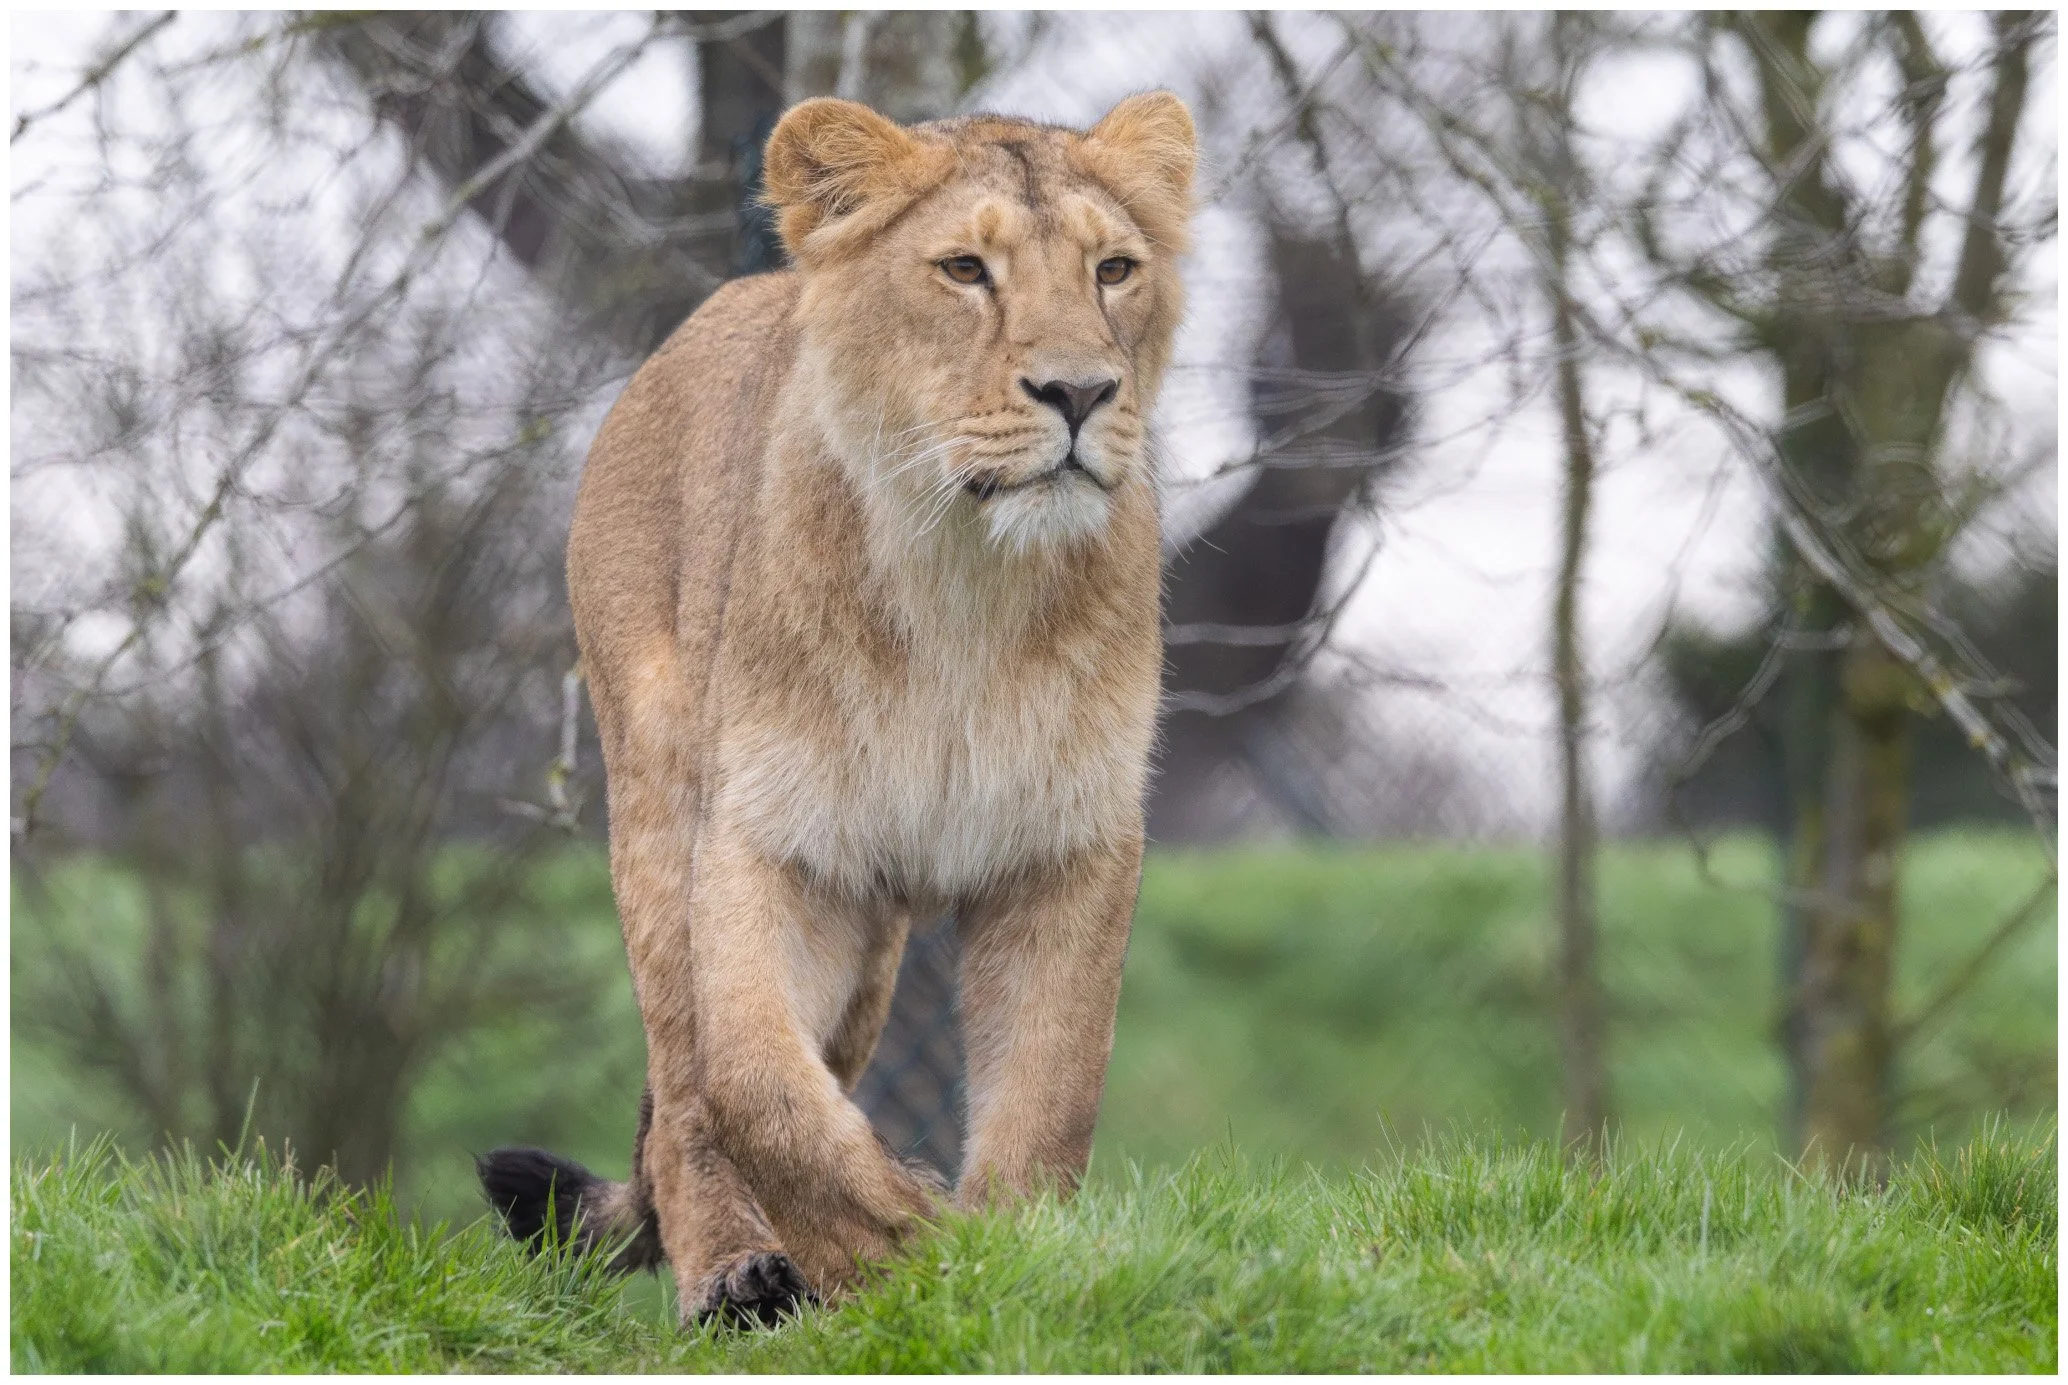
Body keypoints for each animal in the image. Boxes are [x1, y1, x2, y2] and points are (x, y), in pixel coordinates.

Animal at [477, 90, 1196, 1328]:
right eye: (964, 269)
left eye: (1113, 270)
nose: (1079, 393)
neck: (964, 578)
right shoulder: (773, 839)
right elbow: (751, 1082)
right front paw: (913, 1238)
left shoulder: (1068, 845)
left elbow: (1049, 1085)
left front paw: (1009, 1255)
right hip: (658, 803)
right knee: (680, 1091)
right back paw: (735, 1272)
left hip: (870, 951)